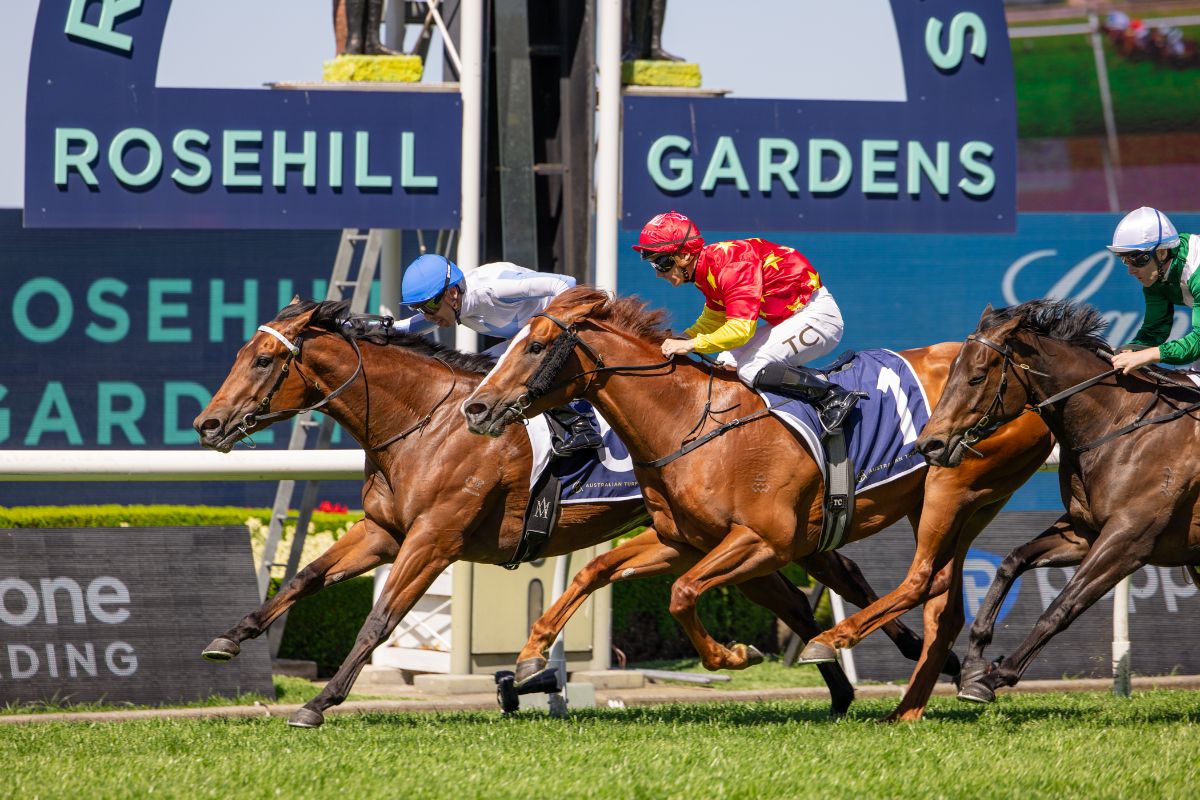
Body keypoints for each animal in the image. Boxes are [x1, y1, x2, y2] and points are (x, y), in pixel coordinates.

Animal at [193, 298, 943, 726]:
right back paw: (849, 684)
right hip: (727, 540)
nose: (208, 424)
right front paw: (228, 637)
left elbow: (380, 619)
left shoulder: (434, 537)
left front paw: (318, 704)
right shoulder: (385, 530)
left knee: (833, 582)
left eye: (261, 360)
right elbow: (302, 580)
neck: (426, 421)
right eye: (242, 352)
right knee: (797, 596)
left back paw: (901, 660)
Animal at [461, 287, 1053, 721]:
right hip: (947, 504)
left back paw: (837, 645)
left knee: (924, 580)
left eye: (535, 347)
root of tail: (1029, 386)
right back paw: (911, 703)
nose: (476, 407)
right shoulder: (681, 540)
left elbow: (681, 593)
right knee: (942, 606)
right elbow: (597, 571)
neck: (689, 423)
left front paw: (735, 655)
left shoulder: (766, 541)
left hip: (955, 489)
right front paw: (531, 656)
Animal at [915, 299, 1200, 703]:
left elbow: (1061, 607)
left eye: (978, 376)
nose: (929, 444)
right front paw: (973, 664)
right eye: (951, 370)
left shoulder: (1129, 541)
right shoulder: (1085, 532)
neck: (1120, 426)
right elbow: (1011, 562)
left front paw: (993, 677)